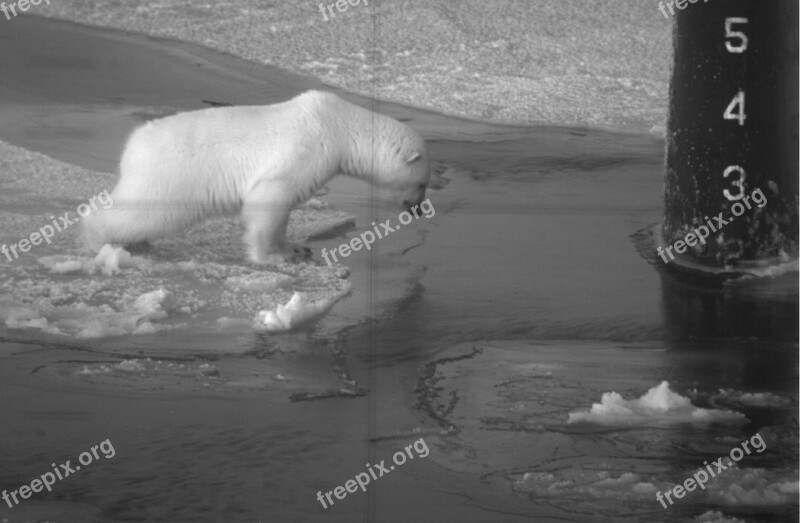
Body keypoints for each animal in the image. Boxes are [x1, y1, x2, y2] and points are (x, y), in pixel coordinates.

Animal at [81, 91, 432, 266]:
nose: (418, 208)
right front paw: (270, 257)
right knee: (143, 212)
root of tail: (133, 145)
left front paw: (294, 249)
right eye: (422, 183)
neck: (340, 126)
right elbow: (270, 197)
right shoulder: (306, 149)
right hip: (169, 176)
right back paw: (99, 240)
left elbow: (284, 208)